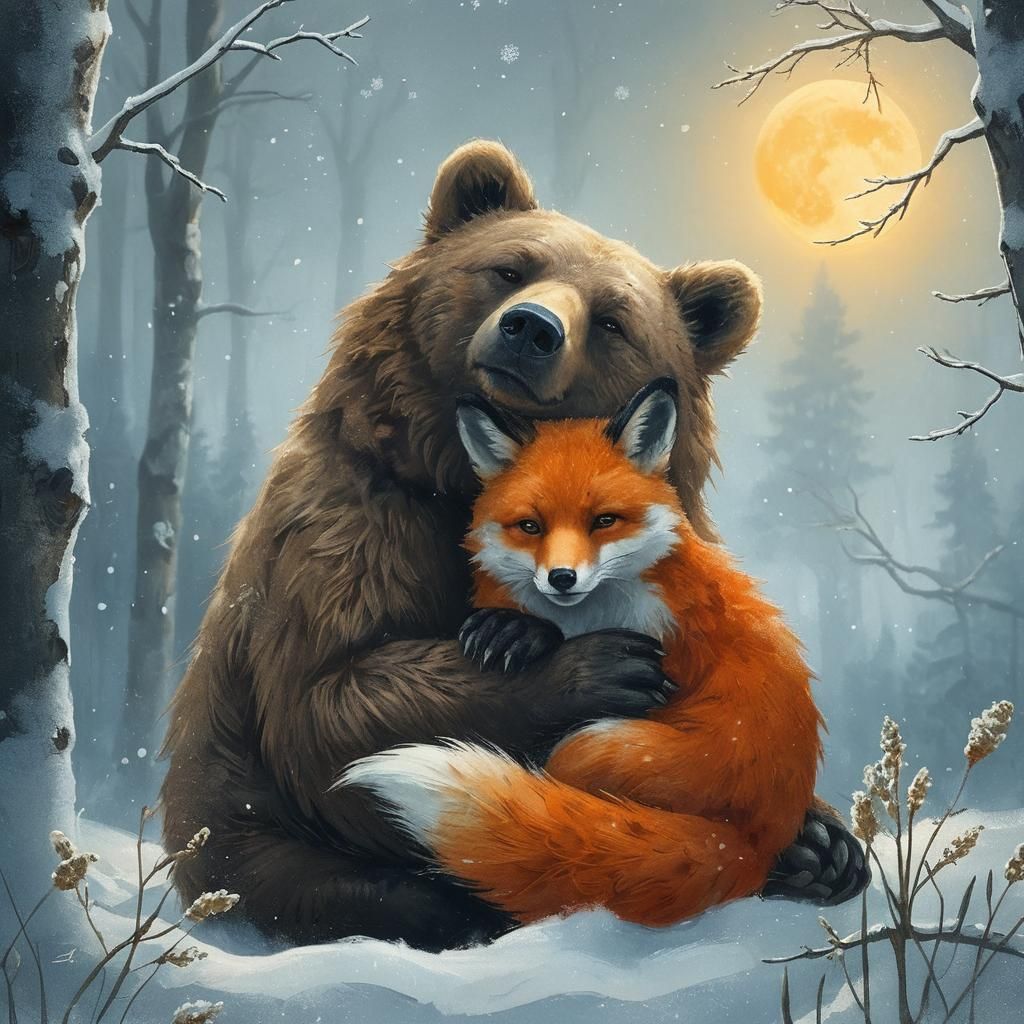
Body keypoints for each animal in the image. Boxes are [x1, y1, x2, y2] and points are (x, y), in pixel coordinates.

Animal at [341, 379, 834, 927]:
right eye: (530, 527)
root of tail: (753, 844)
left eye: (604, 521)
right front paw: (513, 631)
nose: (561, 578)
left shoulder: (675, 642)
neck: (586, 618)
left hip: (598, 746)